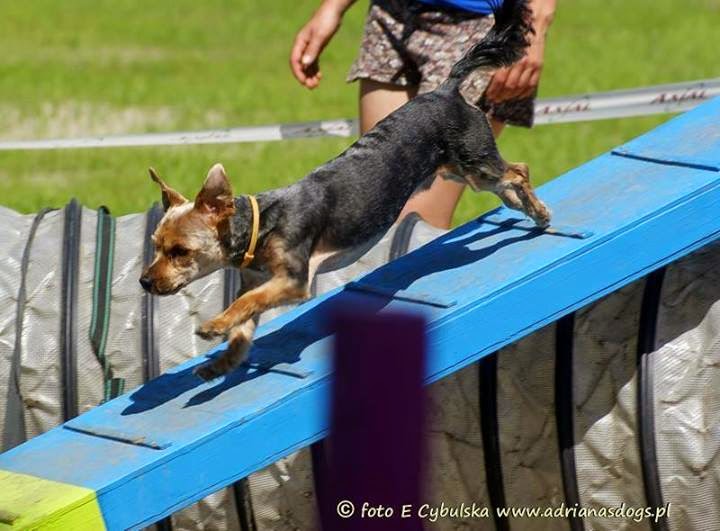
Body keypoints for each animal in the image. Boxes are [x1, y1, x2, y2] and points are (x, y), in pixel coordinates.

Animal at [140, 0, 550, 381]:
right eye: (156, 245)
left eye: (180, 252)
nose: (144, 281)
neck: (262, 226)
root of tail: (447, 90)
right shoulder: (254, 281)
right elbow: (245, 323)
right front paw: (221, 362)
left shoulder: (294, 281)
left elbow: (250, 303)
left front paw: (213, 326)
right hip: (458, 173)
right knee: (506, 181)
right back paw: (522, 208)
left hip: (473, 160)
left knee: (518, 171)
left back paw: (539, 211)